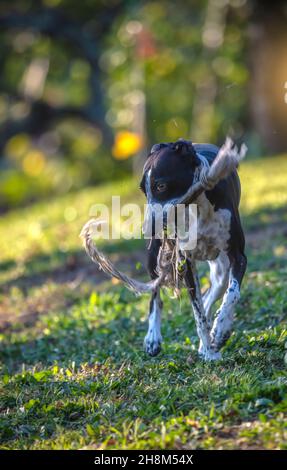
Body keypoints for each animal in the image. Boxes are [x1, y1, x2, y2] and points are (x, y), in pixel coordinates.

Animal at [140, 138, 248, 362]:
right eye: (143, 191)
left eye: (161, 185)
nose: (146, 229)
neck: (197, 205)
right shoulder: (185, 263)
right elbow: (197, 312)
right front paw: (209, 351)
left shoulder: (238, 257)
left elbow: (232, 294)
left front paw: (220, 330)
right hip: (153, 257)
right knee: (155, 294)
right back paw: (153, 338)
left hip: (220, 268)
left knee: (214, 292)